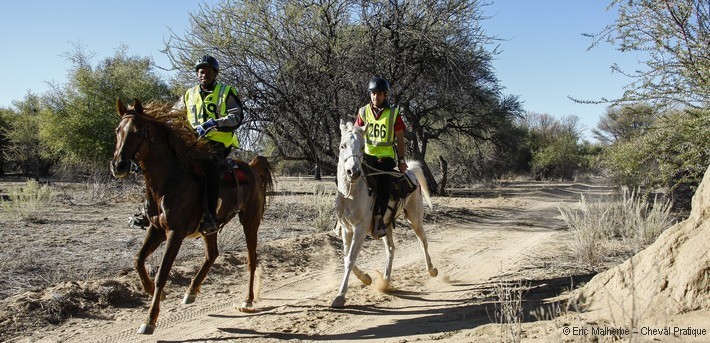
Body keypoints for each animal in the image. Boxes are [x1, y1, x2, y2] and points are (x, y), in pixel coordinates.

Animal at [110, 99, 274, 336]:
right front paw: (154, 292)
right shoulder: (156, 229)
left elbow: (162, 273)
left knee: (251, 259)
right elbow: (138, 260)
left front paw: (150, 320)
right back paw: (191, 291)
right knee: (212, 254)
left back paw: (248, 299)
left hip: (250, 222)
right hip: (210, 228)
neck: (168, 181)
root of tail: (251, 168)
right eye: (117, 130)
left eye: (138, 131)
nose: (118, 165)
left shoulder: (175, 233)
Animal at [334, 121, 440, 310]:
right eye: (342, 145)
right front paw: (366, 278)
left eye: (362, 147)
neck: (351, 194)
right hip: (386, 225)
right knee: (391, 249)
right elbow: (347, 257)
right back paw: (385, 281)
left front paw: (340, 296)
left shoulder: (360, 229)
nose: (353, 172)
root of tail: (409, 172)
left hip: (415, 218)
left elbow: (351, 258)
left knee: (423, 241)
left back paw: (432, 270)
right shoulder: (347, 229)